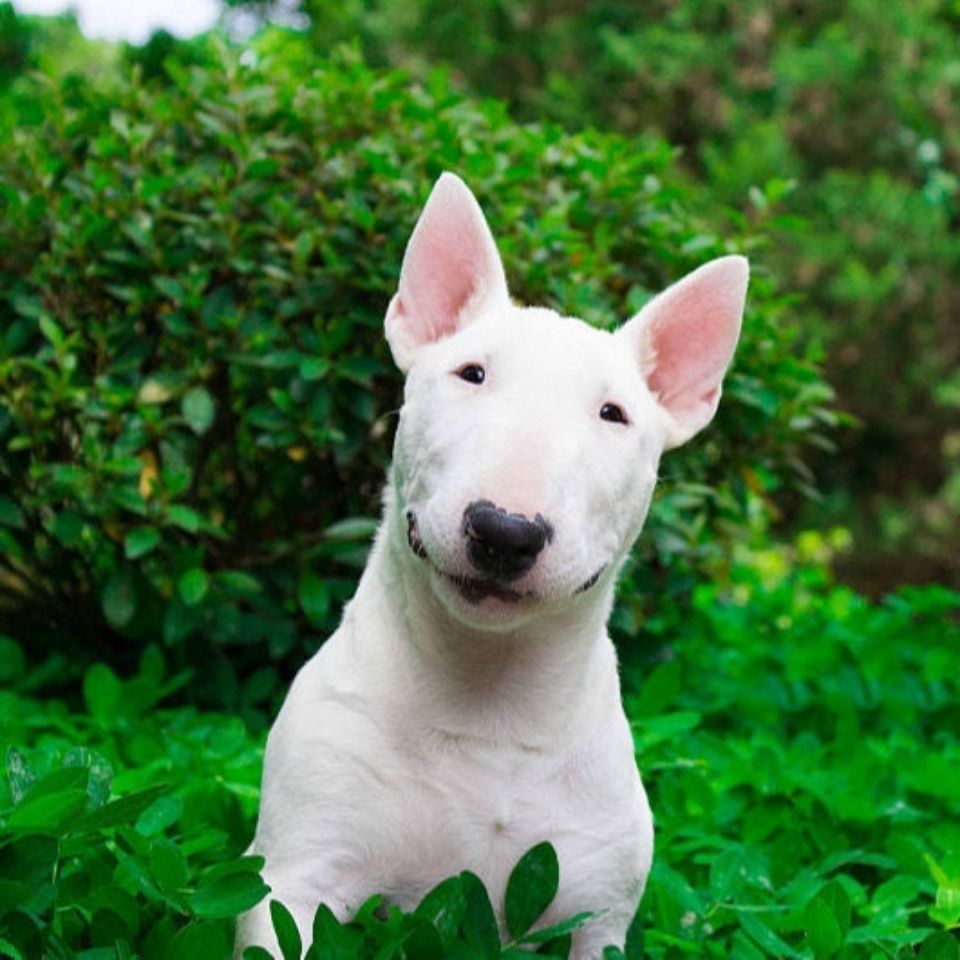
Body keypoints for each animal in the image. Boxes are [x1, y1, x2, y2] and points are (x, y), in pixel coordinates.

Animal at [236, 174, 748, 960]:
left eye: (614, 413)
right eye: (471, 373)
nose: (505, 533)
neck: (489, 700)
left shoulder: (599, 916)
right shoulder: (291, 877)